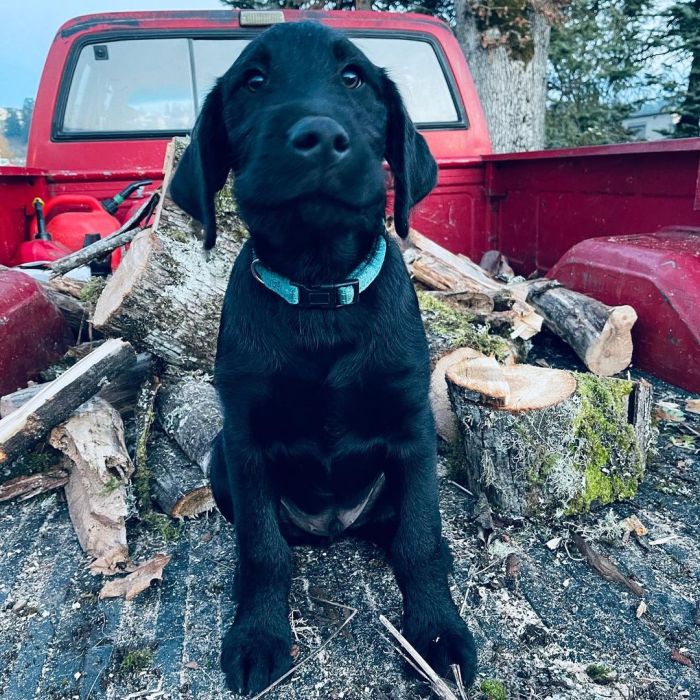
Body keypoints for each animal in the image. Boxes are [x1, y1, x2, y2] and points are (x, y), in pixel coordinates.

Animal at [170, 20, 476, 696]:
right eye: (253, 81)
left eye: (354, 78)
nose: (318, 139)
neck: (319, 293)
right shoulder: (245, 439)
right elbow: (263, 550)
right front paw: (258, 635)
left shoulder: (412, 430)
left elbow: (419, 540)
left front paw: (437, 634)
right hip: (219, 462)